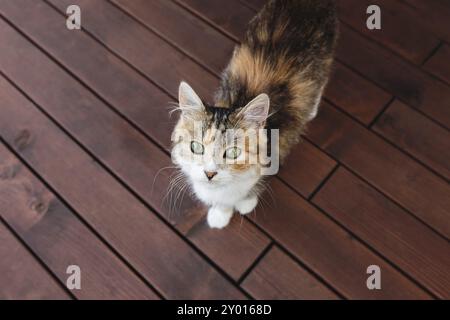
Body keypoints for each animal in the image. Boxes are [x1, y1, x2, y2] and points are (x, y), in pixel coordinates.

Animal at [172, 1, 338, 229]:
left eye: (233, 152)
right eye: (195, 147)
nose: (209, 173)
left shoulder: (276, 150)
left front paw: (244, 203)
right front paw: (220, 213)